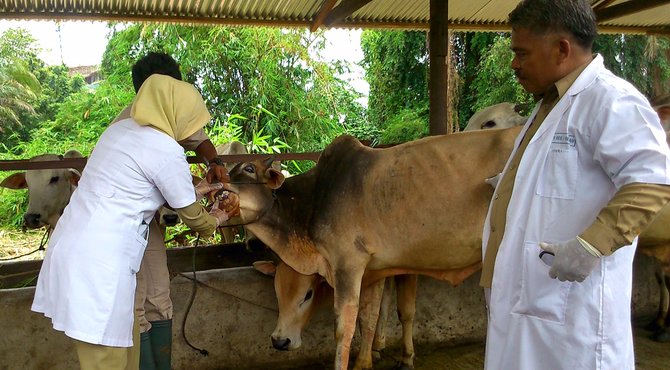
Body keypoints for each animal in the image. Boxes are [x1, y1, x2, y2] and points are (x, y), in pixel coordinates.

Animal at [223, 125, 524, 368]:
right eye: (276, 292)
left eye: (249, 168)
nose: (279, 341)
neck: (313, 200)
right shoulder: (376, 269)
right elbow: (371, 316)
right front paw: (373, 358)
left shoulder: (350, 266)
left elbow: (345, 327)